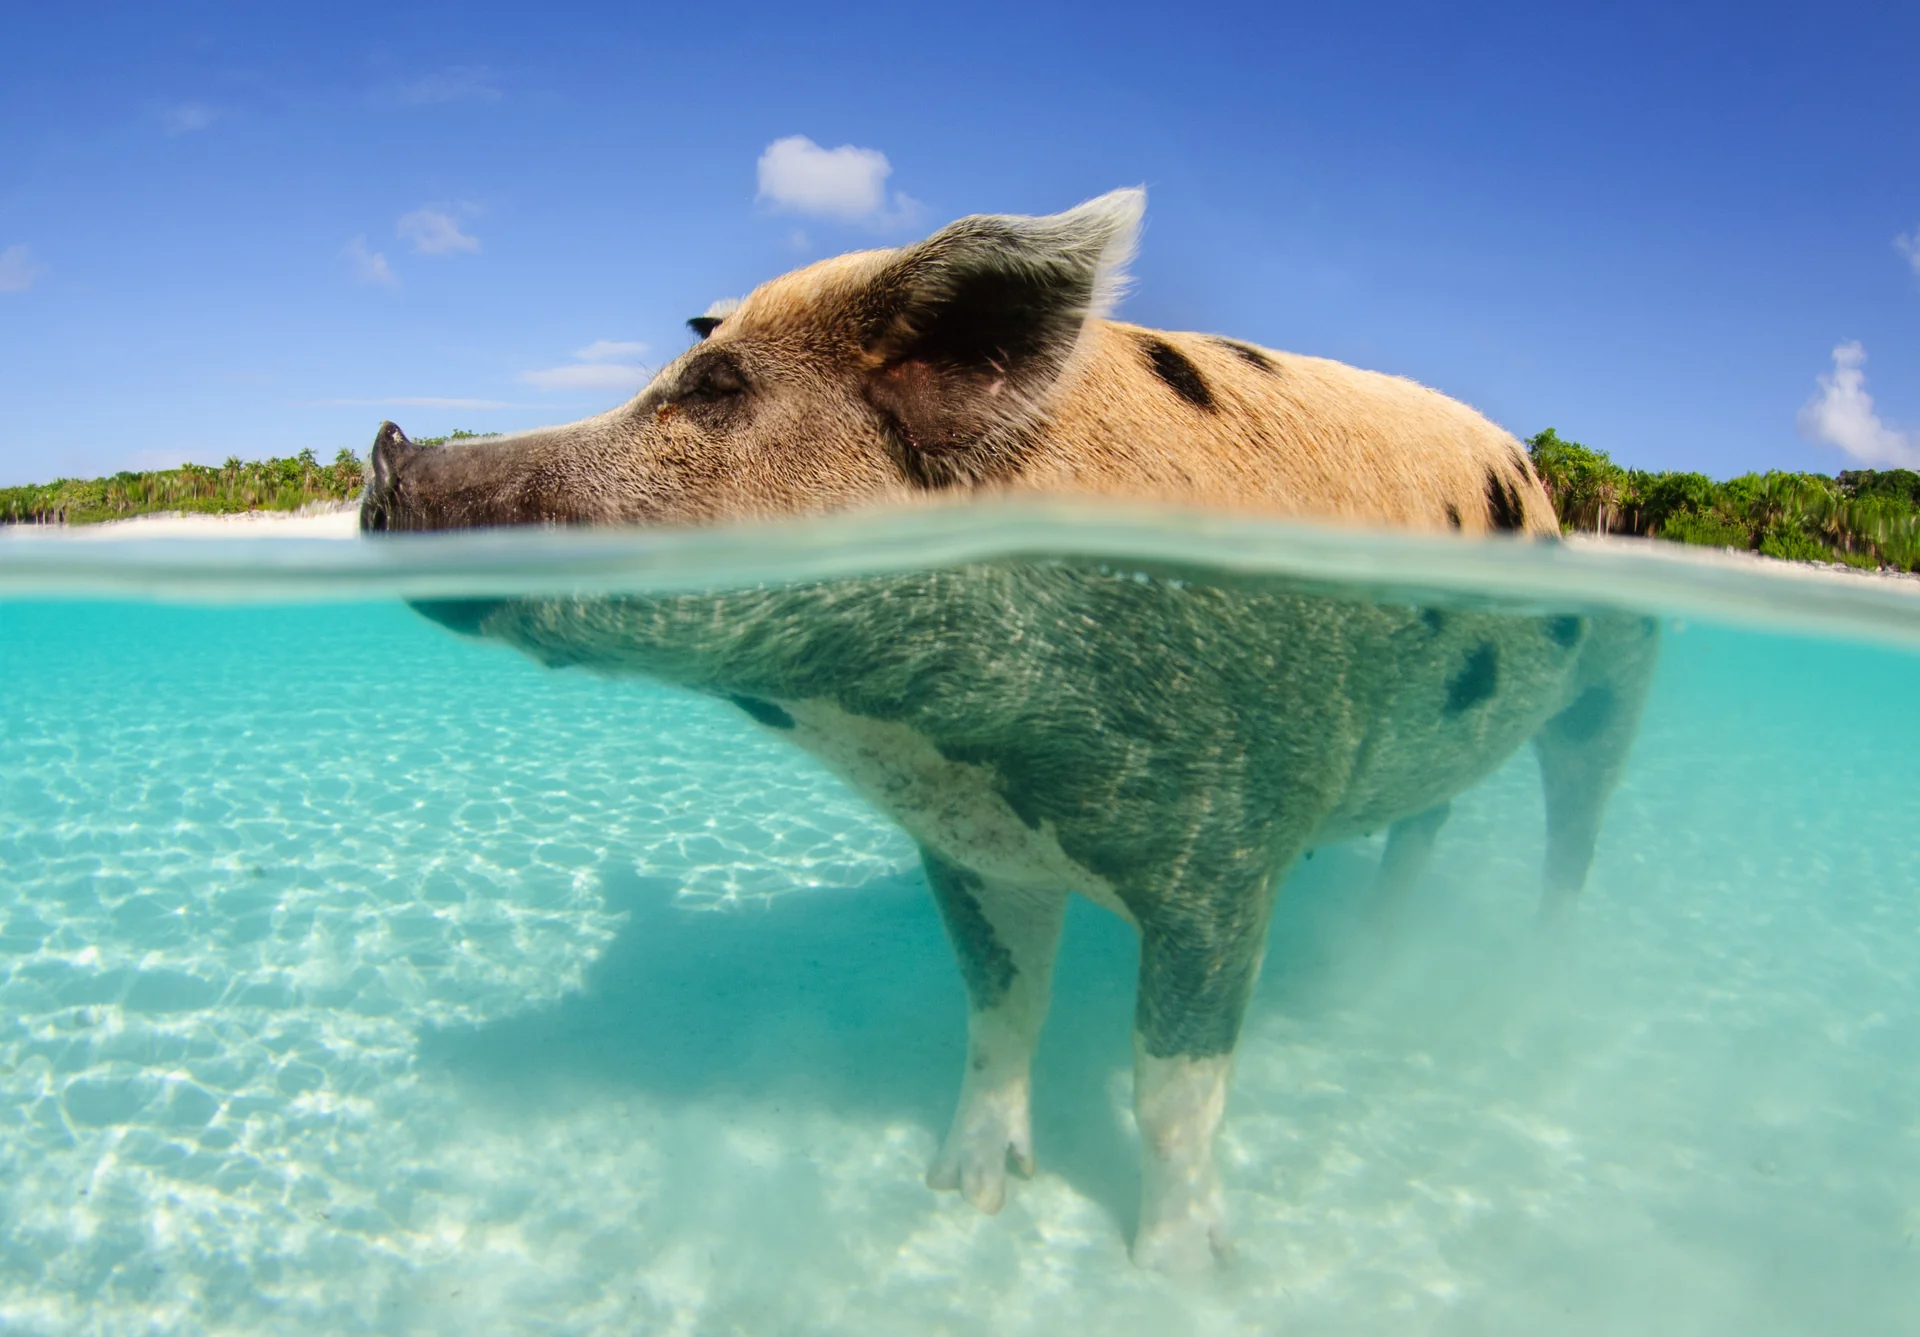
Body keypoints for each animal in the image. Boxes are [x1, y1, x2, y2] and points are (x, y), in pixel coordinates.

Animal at [359, 190, 1655, 1272]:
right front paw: (965, 1190)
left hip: (1619, 670)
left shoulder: (1229, 853)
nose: (389, 446)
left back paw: (1541, 970)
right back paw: (1386, 945)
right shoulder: (975, 846)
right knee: (1428, 817)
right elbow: (1000, 1010)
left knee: (1576, 820)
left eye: (717, 389)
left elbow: (1174, 1085)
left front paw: (1181, 1270)